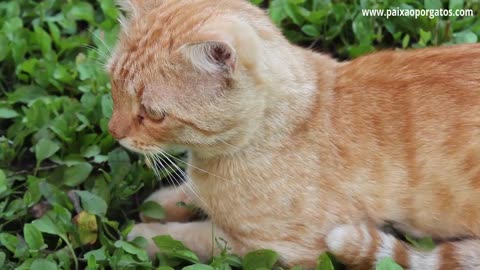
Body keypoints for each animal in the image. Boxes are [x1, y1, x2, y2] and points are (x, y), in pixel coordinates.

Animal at [107, 1, 480, 268]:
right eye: (113, 87)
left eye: (153, 114)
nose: (114, 132)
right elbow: (192, 192)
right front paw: (164, 202)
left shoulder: (284, 249)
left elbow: (200, 238)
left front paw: (146, 233)